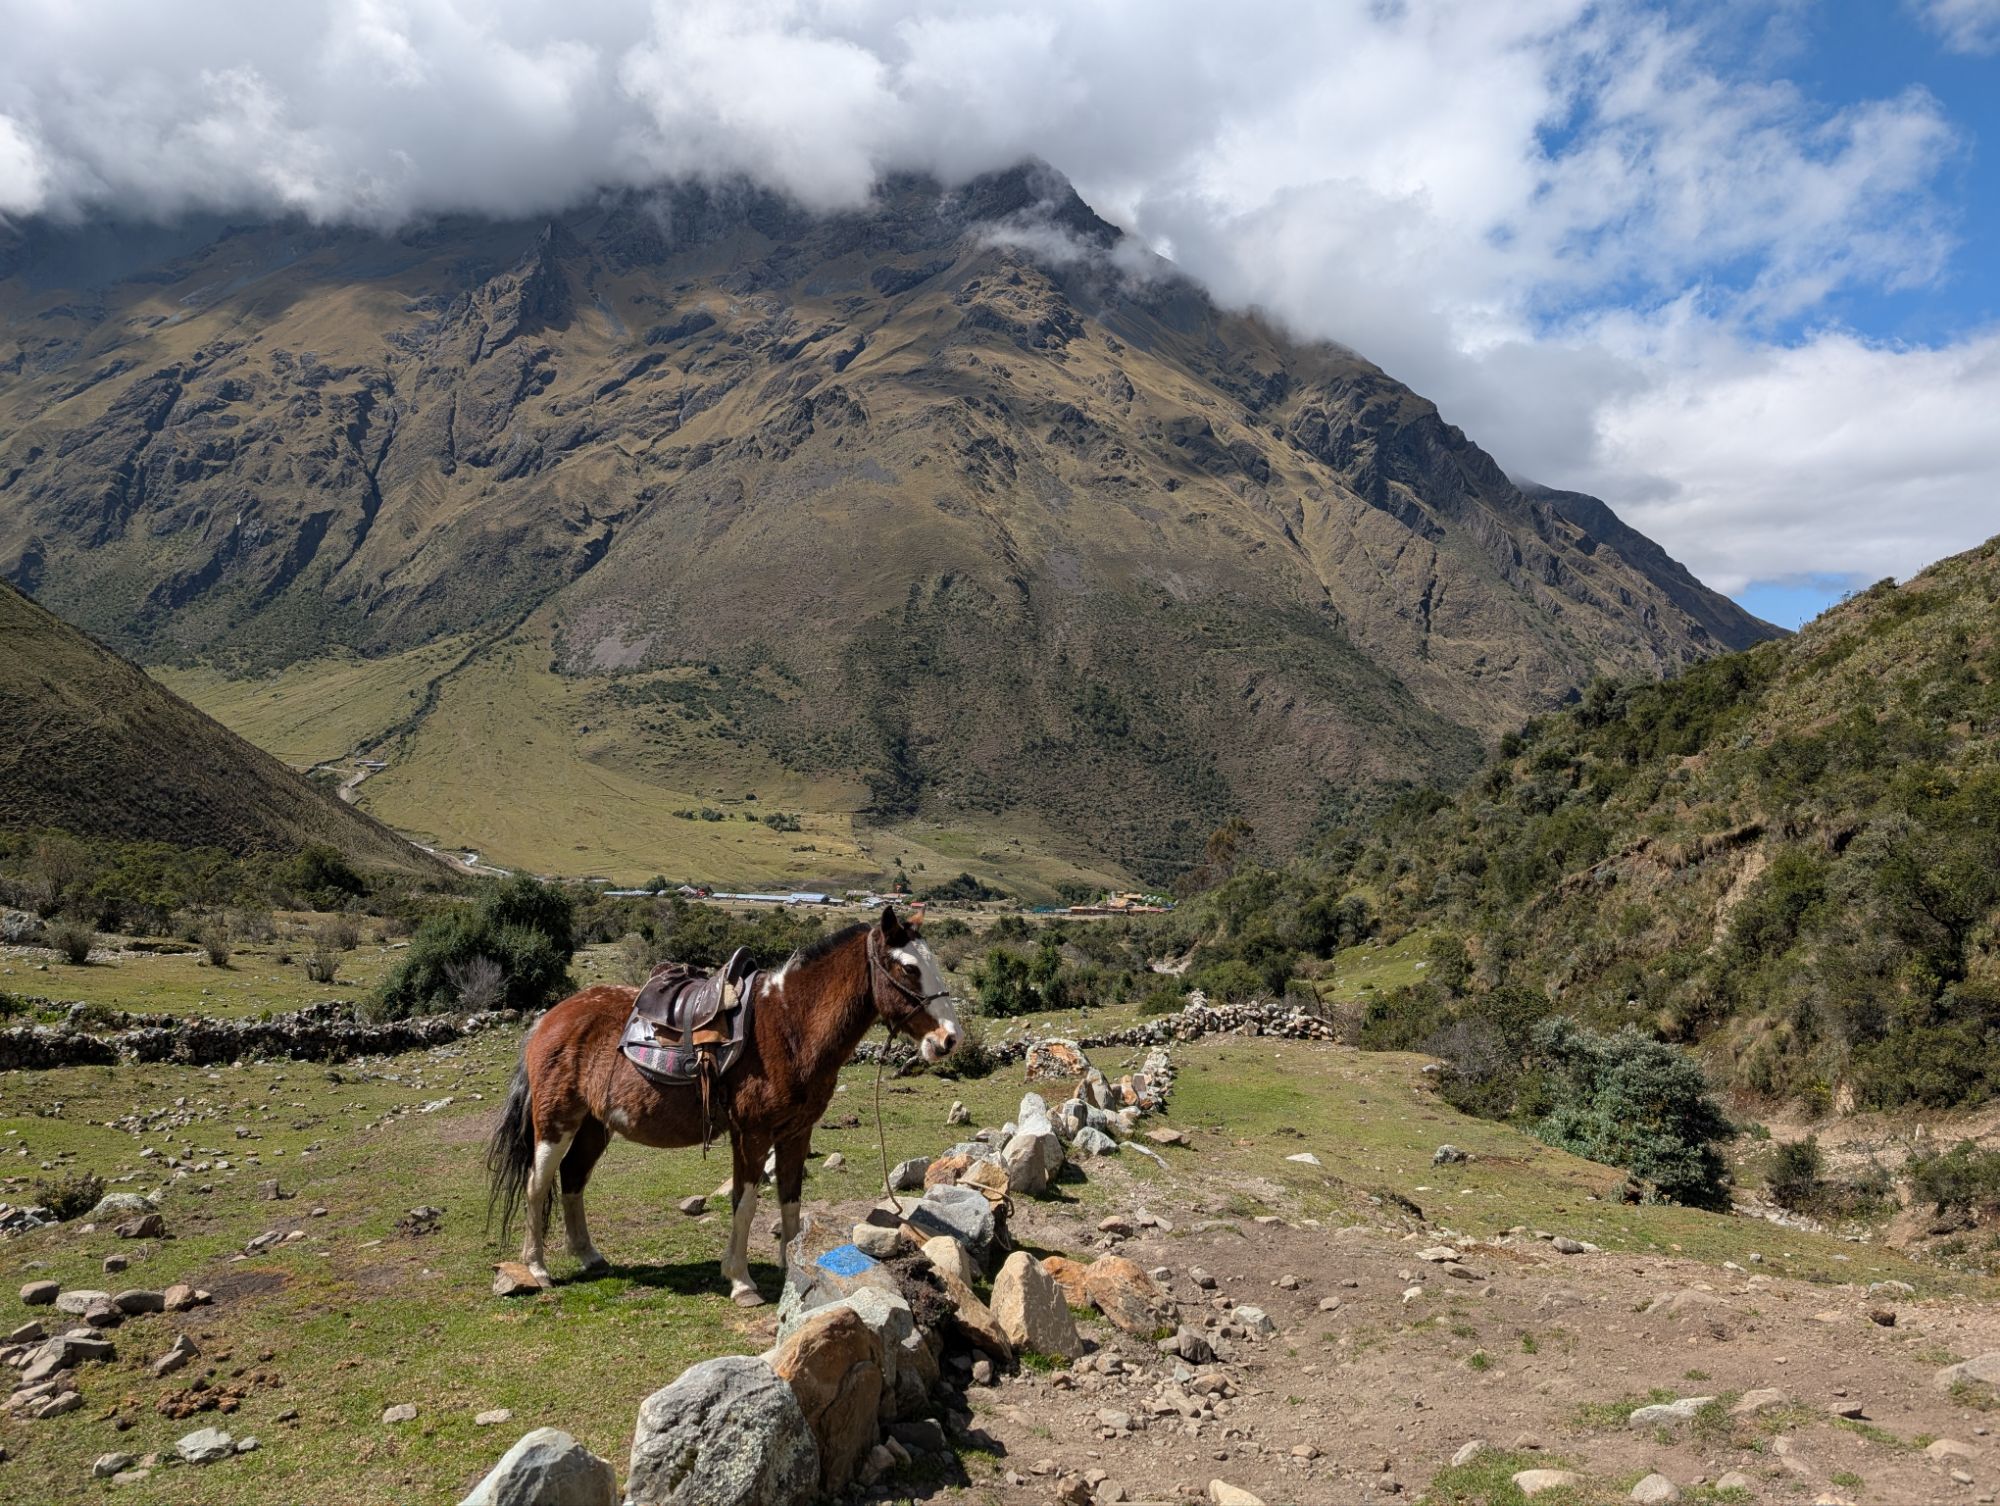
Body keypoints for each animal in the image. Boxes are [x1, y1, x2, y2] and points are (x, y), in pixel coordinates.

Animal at [485, 904, 960, 1304]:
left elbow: (791, 1201)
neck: (790, 1028)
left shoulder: (796, 1133)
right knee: (538, 1184)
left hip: (594, 1127)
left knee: (573, 1178)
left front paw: (792, 1266)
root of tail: (550, 1019)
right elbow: (744, 1205)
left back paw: (589, 1256)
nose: (949, 1039)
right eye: (909, 968)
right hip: (556, 1123)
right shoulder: (751, 1135)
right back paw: (537, 1268)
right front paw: (741, 1281)